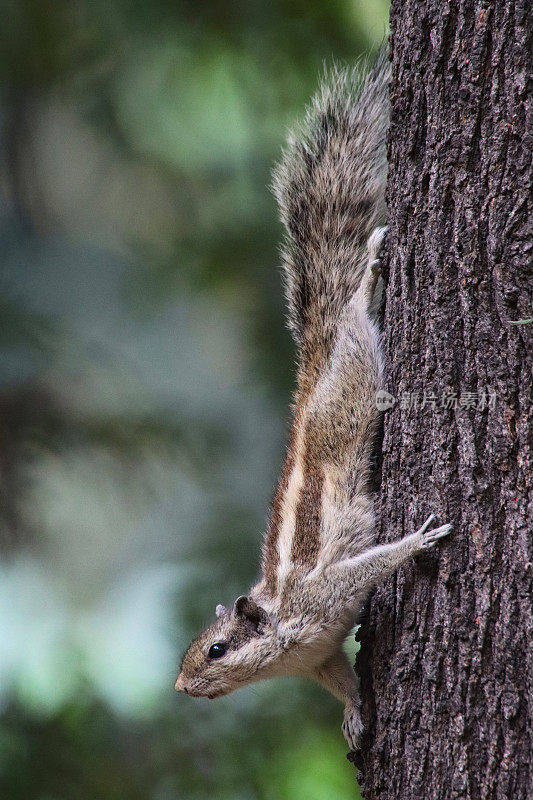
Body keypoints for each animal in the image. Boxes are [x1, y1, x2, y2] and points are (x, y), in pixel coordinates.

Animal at [177, 53, 450, 752]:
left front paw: (418, 540)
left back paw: (369, 278)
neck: (283, 634)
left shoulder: (321, 597)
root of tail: (311, 378)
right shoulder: (321, 655)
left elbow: (367, 568)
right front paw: (354, 715)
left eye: (216, 650)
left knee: (354, 323)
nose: (181, 688)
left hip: (349, 388)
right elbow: (342, 681)